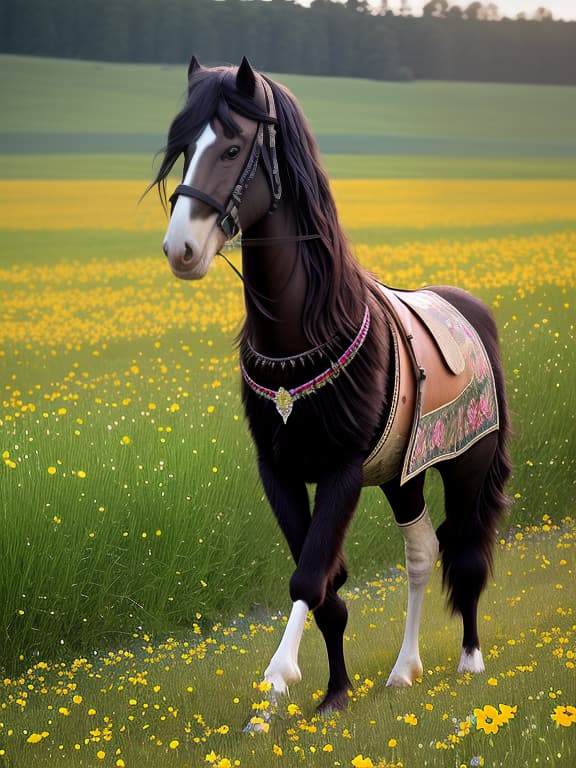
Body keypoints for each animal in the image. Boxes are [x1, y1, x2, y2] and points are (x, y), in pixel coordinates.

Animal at [155, 57, 510, 716]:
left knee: (466, 549)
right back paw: (403, 670)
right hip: (403, 474)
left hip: (466, 467)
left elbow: (310, 576)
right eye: (185, 148)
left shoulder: (342, 469)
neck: (304, 331)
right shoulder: (281, 471)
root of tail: (471, 309)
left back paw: (470, 659)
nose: (180, 249)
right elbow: (325, 584)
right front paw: (336, 693)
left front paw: (276, 681)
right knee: (421, 552)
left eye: (234, 147)